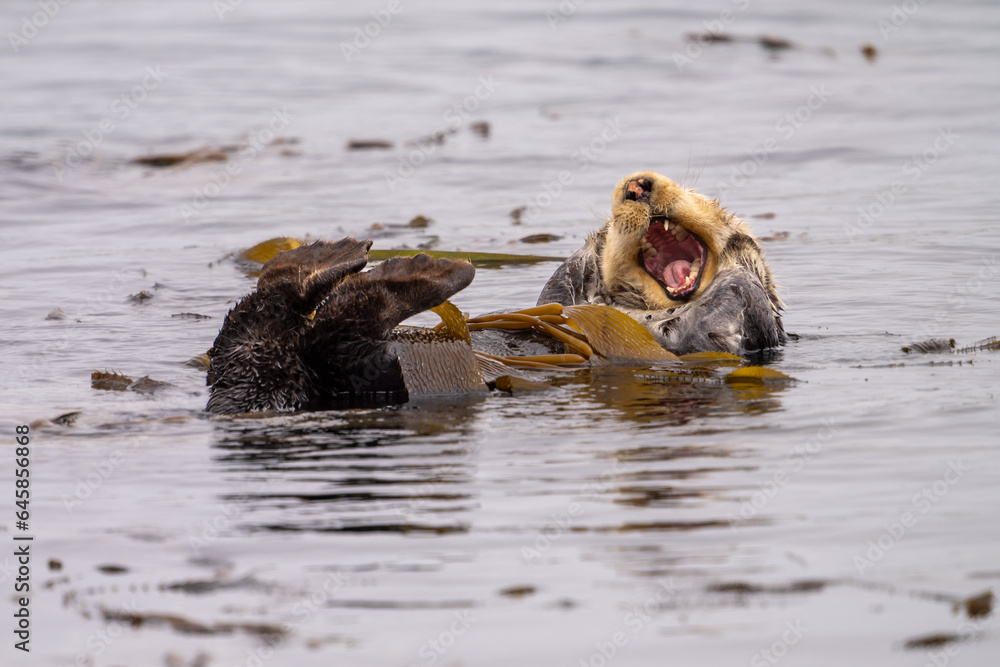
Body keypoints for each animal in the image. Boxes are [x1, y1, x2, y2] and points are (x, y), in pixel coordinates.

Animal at [207, 172, 784, 414]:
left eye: (709, 202)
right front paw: (589, 248)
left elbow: (743, 308)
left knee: (311, 325)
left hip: (338, 366)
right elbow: (563, 287)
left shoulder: (742, 332)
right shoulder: (567, 293)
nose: (639, 185)